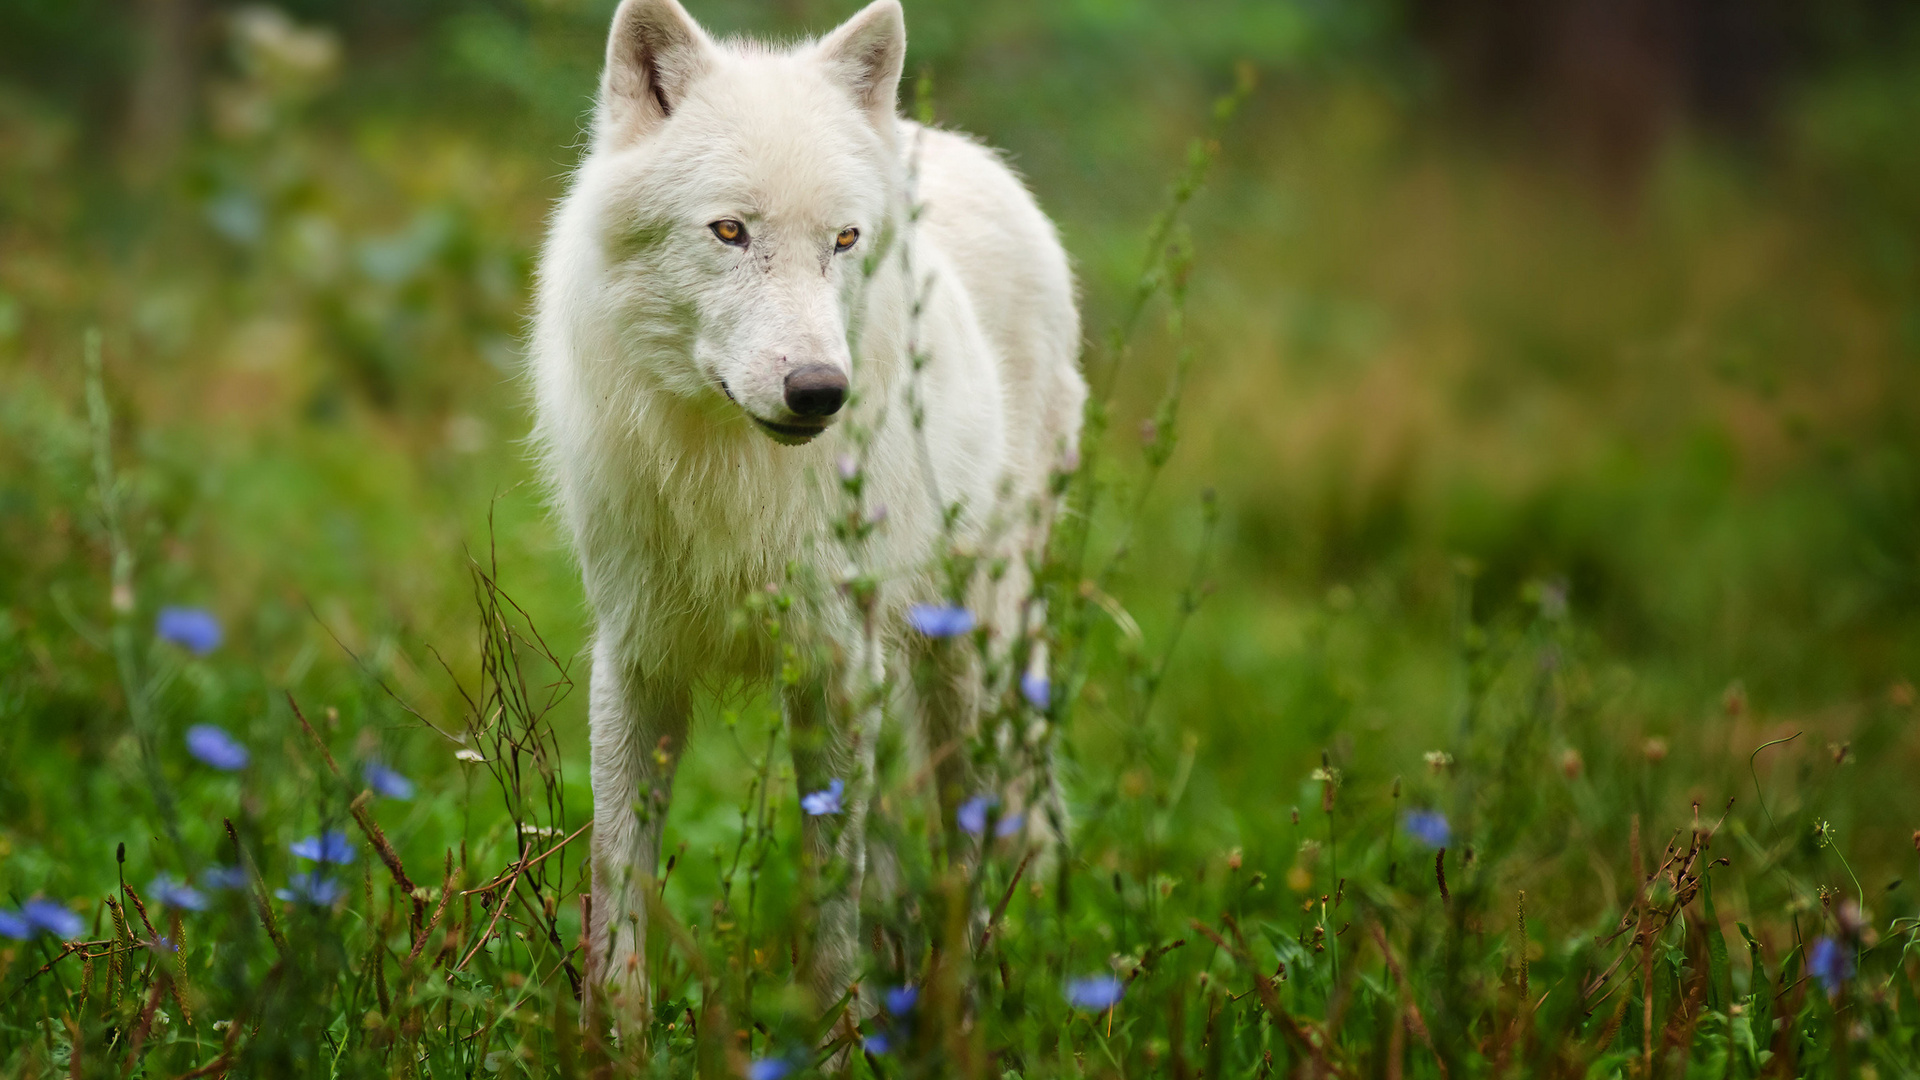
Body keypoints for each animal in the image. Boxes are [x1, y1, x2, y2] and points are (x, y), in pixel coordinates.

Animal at [526, 0, 1090, 1006]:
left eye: (844, 241)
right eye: (729, 232)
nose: (820, 391)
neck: (730, 472)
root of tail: (950, 143)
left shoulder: (835, 663)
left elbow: (834, 892)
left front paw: (839, 1027)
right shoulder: (635, 657)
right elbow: (617, 877)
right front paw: (614, 1031)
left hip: (972, 657)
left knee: (973, 837)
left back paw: (973, 992)